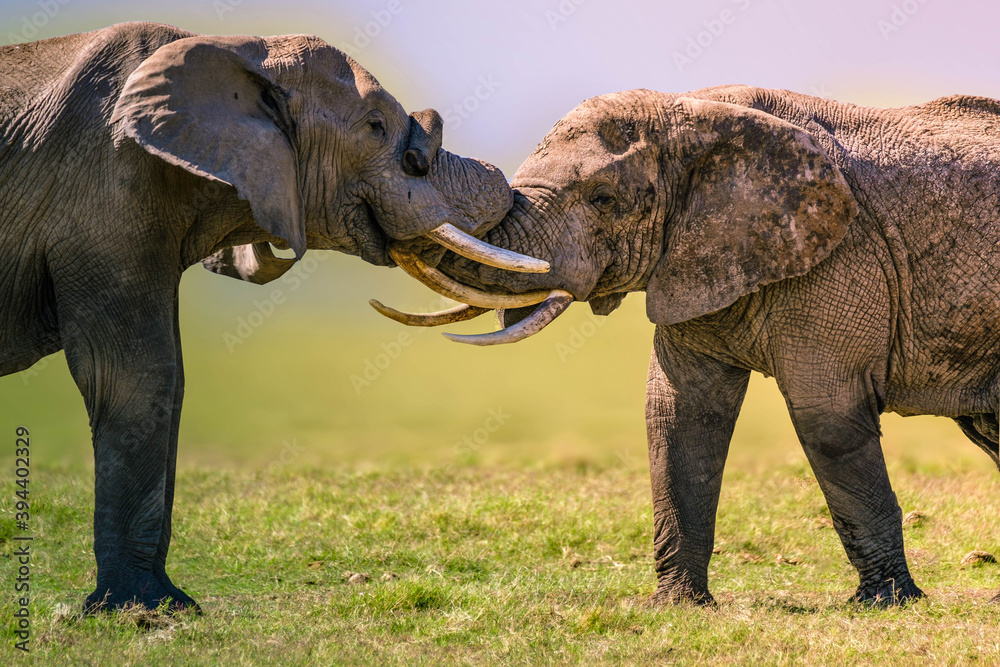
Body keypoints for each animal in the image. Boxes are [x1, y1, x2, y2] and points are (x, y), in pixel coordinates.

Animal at [0, 22, 548, 612]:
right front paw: (141, 611)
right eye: (375, 127)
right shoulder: (104, 194)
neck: (240, 46)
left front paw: (168, 606)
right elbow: (136, 375)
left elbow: (170, 378)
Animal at [375, 85, 1000, 606]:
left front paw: (886, 604)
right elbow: (679, 415)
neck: (693, 115)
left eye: (604, 199)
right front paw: (678, 606)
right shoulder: (690, 261)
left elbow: (827, 418)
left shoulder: (842, 256)